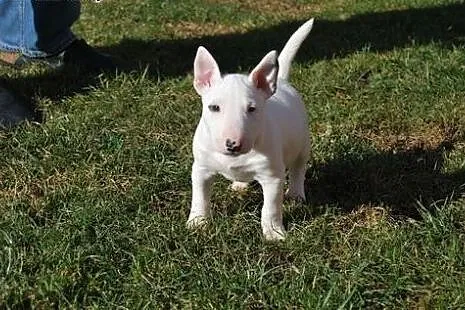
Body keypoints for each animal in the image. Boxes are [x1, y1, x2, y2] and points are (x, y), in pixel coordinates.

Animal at [187, 18, 314, 240]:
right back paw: (239, 184)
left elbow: (270, 208)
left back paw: (296, 194)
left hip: (302, 144)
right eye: (214, 107)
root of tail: (281, 81)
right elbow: (199, 197)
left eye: (252, 109)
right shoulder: (201, 168)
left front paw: (274, 233)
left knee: (298, 169)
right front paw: (197, 223)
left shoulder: (272, 176)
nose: (232, 144)